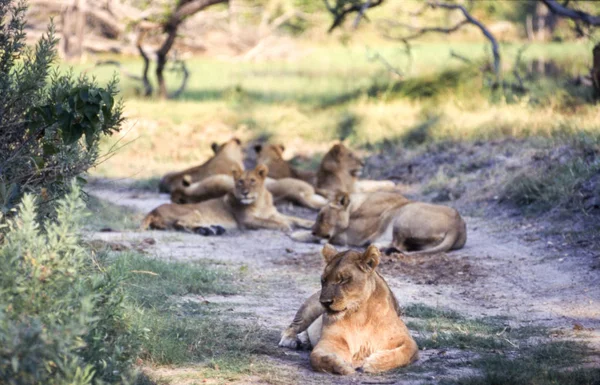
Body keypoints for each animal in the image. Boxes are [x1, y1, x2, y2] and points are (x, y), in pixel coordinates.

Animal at [280, 244, 418, 374]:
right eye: (323, 280)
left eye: (344, 280)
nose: (325, 302)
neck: (361, 316)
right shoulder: (331, 339)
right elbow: (316, 357)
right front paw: (341, 366)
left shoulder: (407, 340)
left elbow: (405, 353)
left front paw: (372, 363)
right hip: (309, 309)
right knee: (291, 327)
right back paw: (292, 341)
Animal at [292, 190, 466, 255]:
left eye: (322, 215)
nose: (314, 230)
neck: (354, 207)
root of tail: (456, 226)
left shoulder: (352, 236)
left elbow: (324, 238)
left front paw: (300, 235)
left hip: (404, 215)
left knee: (398, 245)